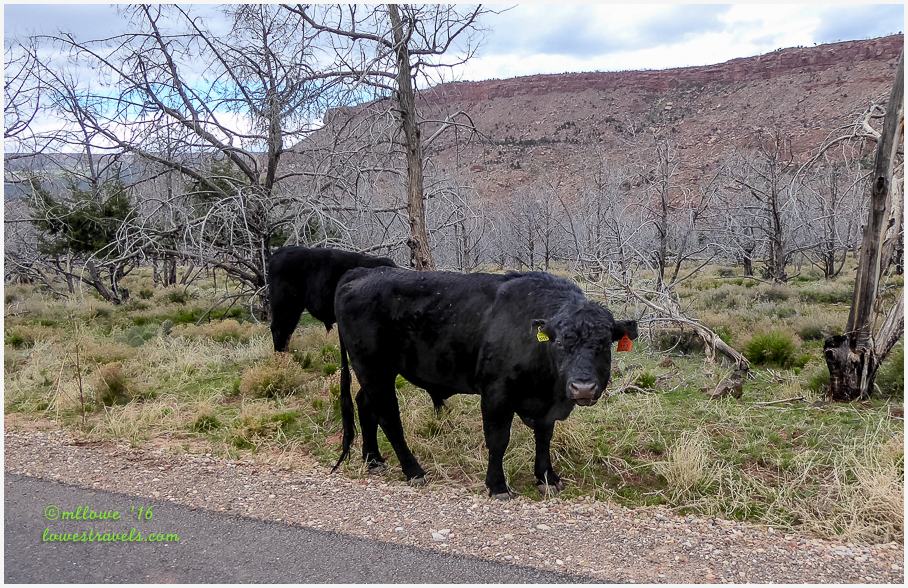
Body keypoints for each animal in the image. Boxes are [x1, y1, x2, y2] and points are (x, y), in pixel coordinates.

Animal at [332, 267, 638, 498]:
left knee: (366, 405)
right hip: (374, 370)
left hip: (375, 374)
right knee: (388, 417)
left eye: (603, 344)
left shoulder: (544, 406)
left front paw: (547, 478)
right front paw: (498, 486)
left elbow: (544, 437)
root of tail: (362, 273)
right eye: (560, 343)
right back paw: (413, 471)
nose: (582, 387)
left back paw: (373, 460)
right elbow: (498, 439)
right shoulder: (496, 394)